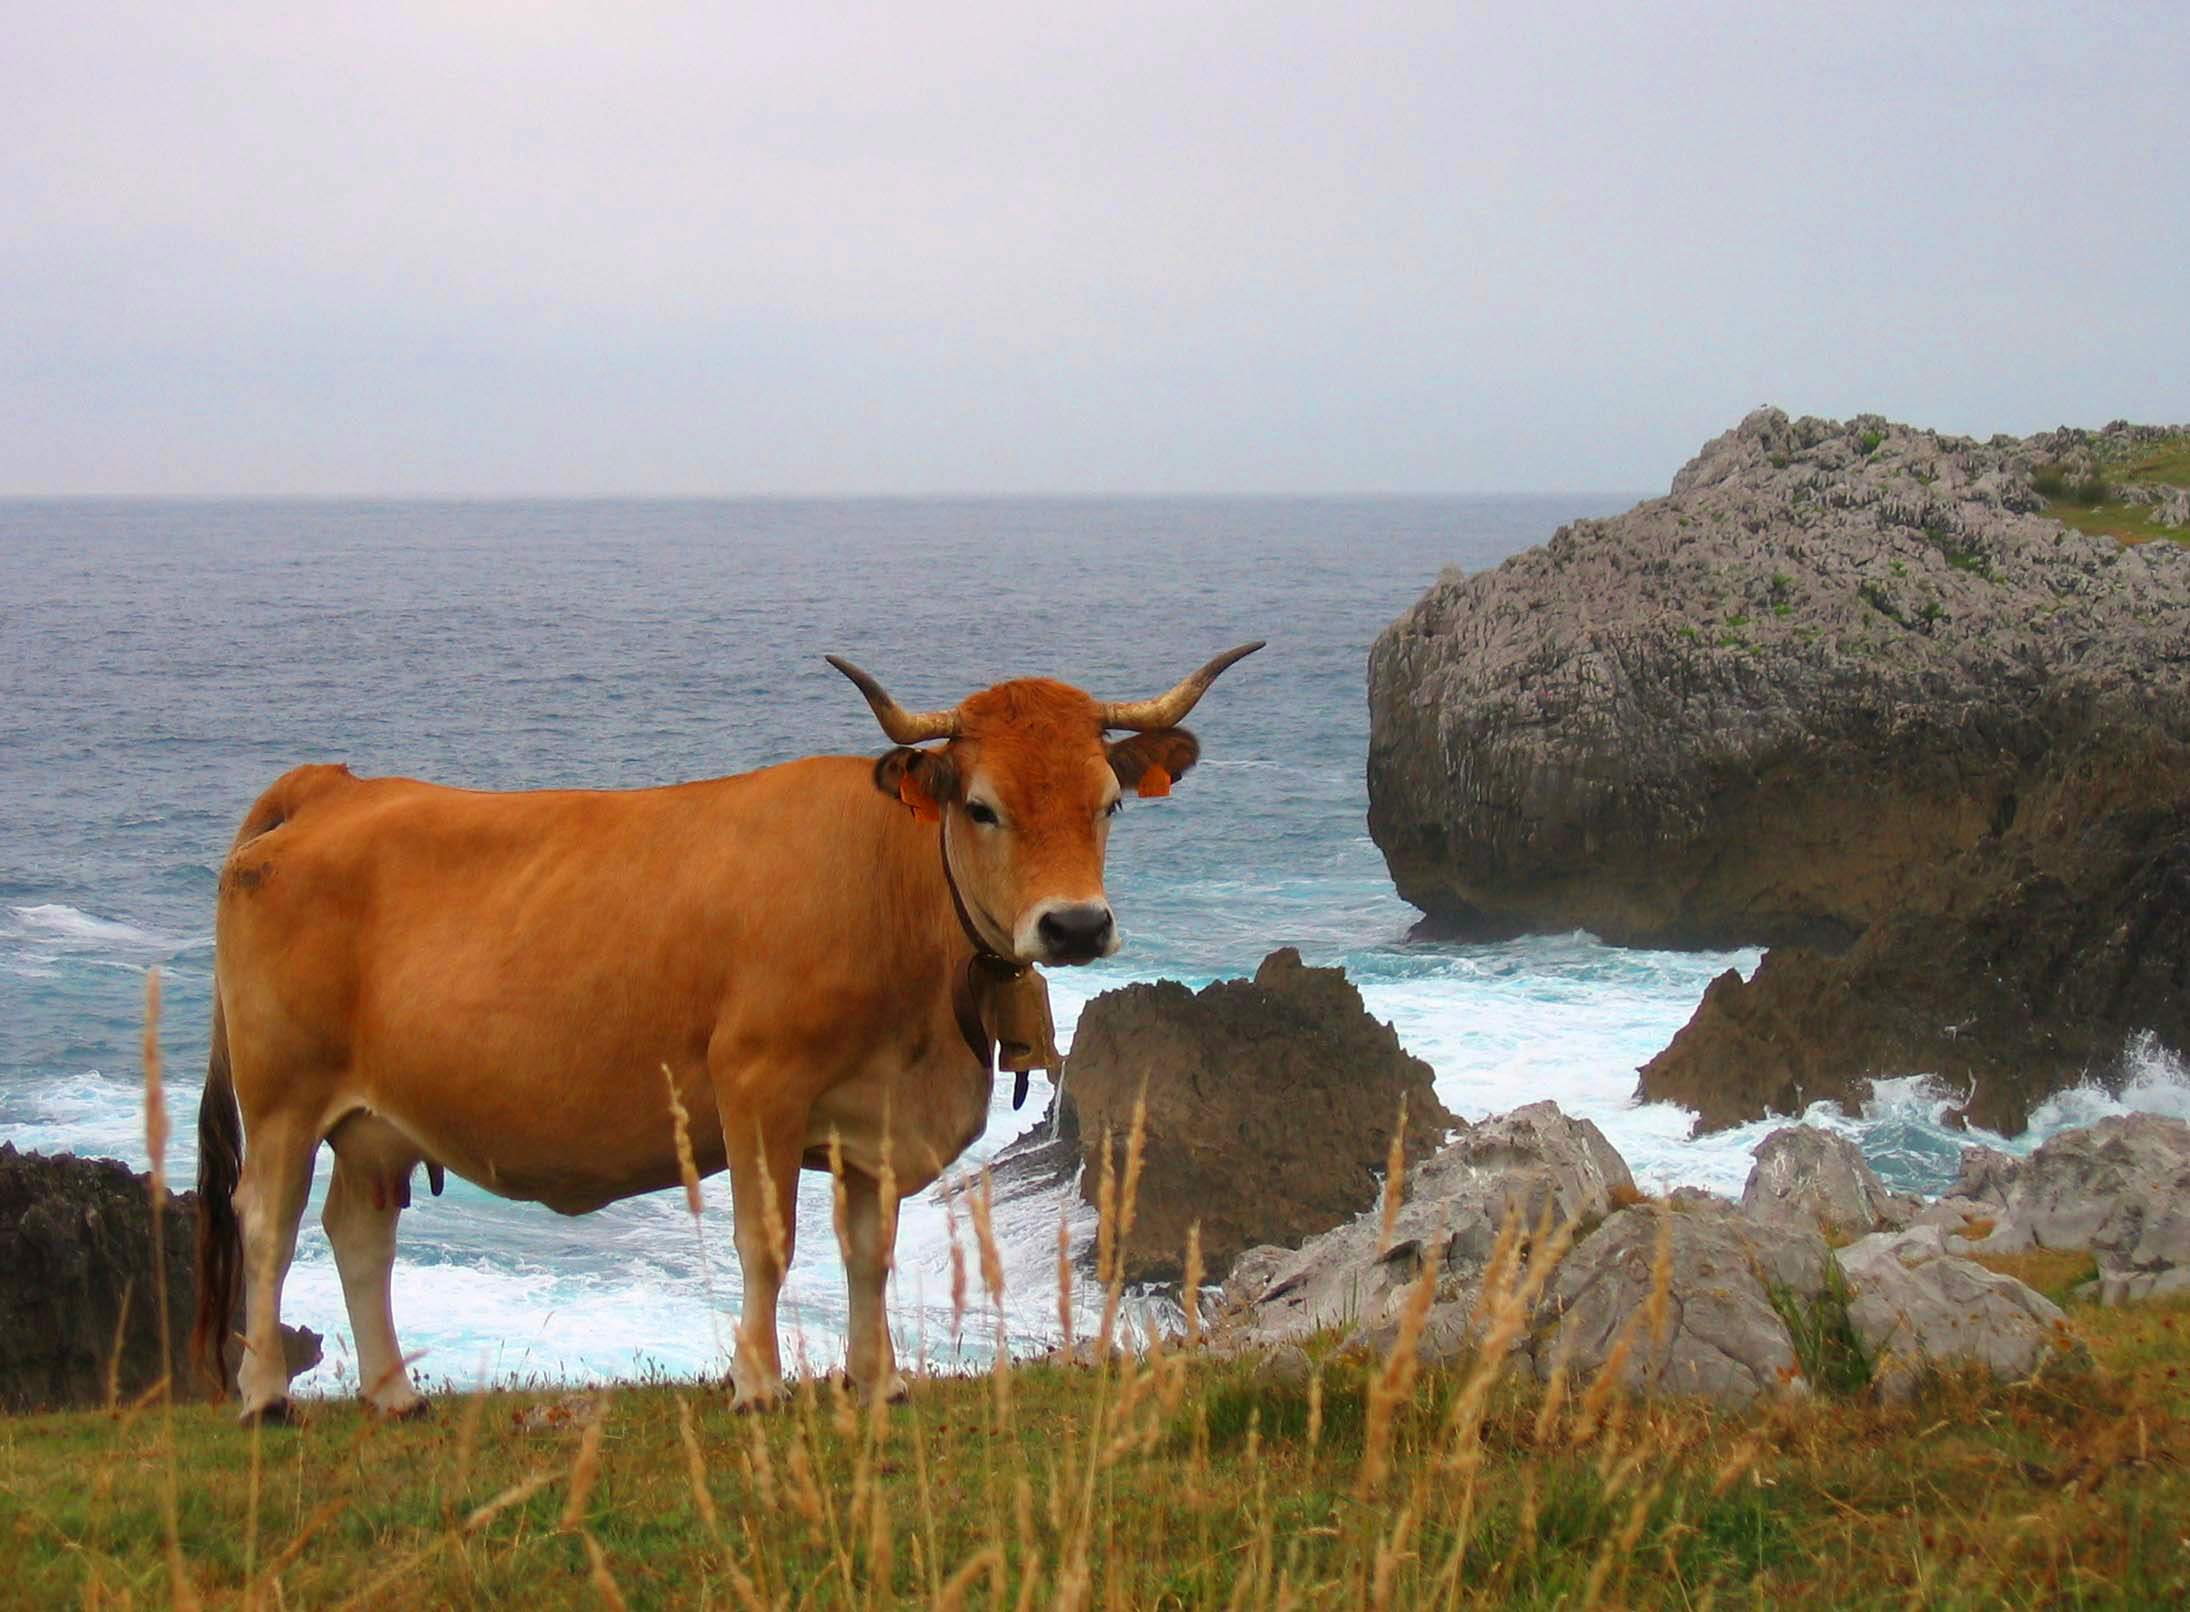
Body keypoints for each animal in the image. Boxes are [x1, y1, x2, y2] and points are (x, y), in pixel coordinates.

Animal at [197, 643, 1261, 1419]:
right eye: (982, 805)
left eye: (1108, 803)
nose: (1074, 927)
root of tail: (339, 785)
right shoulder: (757, 1086)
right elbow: (768, 1243)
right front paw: (757, 1382)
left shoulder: (874, 1121)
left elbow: (867, 1252)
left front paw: (877, 1380)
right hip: (283, 1095)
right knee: (269, 1223)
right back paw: (263, 1395)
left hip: (373, 1119)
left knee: (357, 1231)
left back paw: (392, 1393)